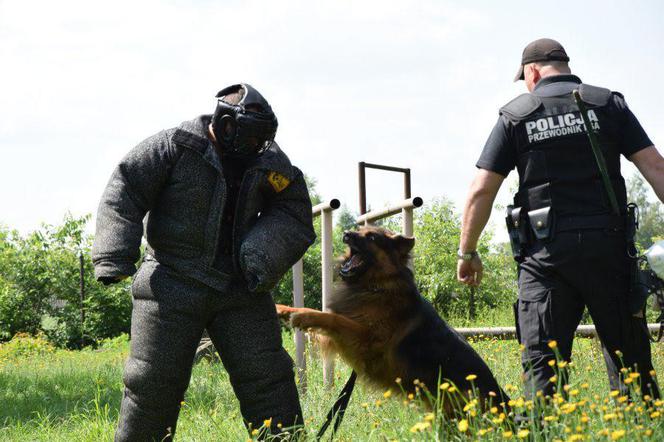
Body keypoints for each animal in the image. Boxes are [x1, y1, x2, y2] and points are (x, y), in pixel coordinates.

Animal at [274, 226, 508, 412]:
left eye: (372, 237)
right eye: (358, 229)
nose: (346, 233)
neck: (375, 286)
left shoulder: (365, 342)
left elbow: (333, 318)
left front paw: (304, 317)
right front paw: (281, 308)